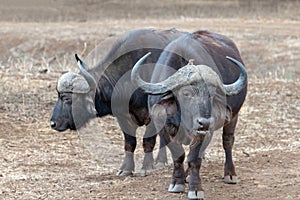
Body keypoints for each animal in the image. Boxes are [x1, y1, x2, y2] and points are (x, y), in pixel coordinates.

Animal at [50, 28, 184, 176]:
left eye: (67, 98)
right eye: (58, 96)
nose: (53, 123)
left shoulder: (152, 115)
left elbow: (148, 141)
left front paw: (146, 167)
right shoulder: (122, 118)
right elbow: (130, 142)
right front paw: (125, 169)